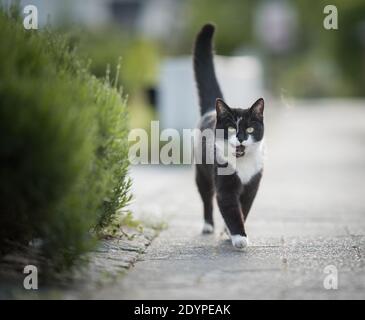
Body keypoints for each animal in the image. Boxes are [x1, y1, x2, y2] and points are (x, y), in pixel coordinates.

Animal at [192, 24, 264, 250]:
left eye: (250, 129)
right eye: (232, 128)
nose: (241, 138)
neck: (242, 163)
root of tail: (210, 111)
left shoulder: (252, 186)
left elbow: (244, 208)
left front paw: (229, 231)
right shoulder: (225, 186)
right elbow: (231, 208)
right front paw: (239, 237)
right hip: (201, 172)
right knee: (206, 197)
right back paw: (208, 225)